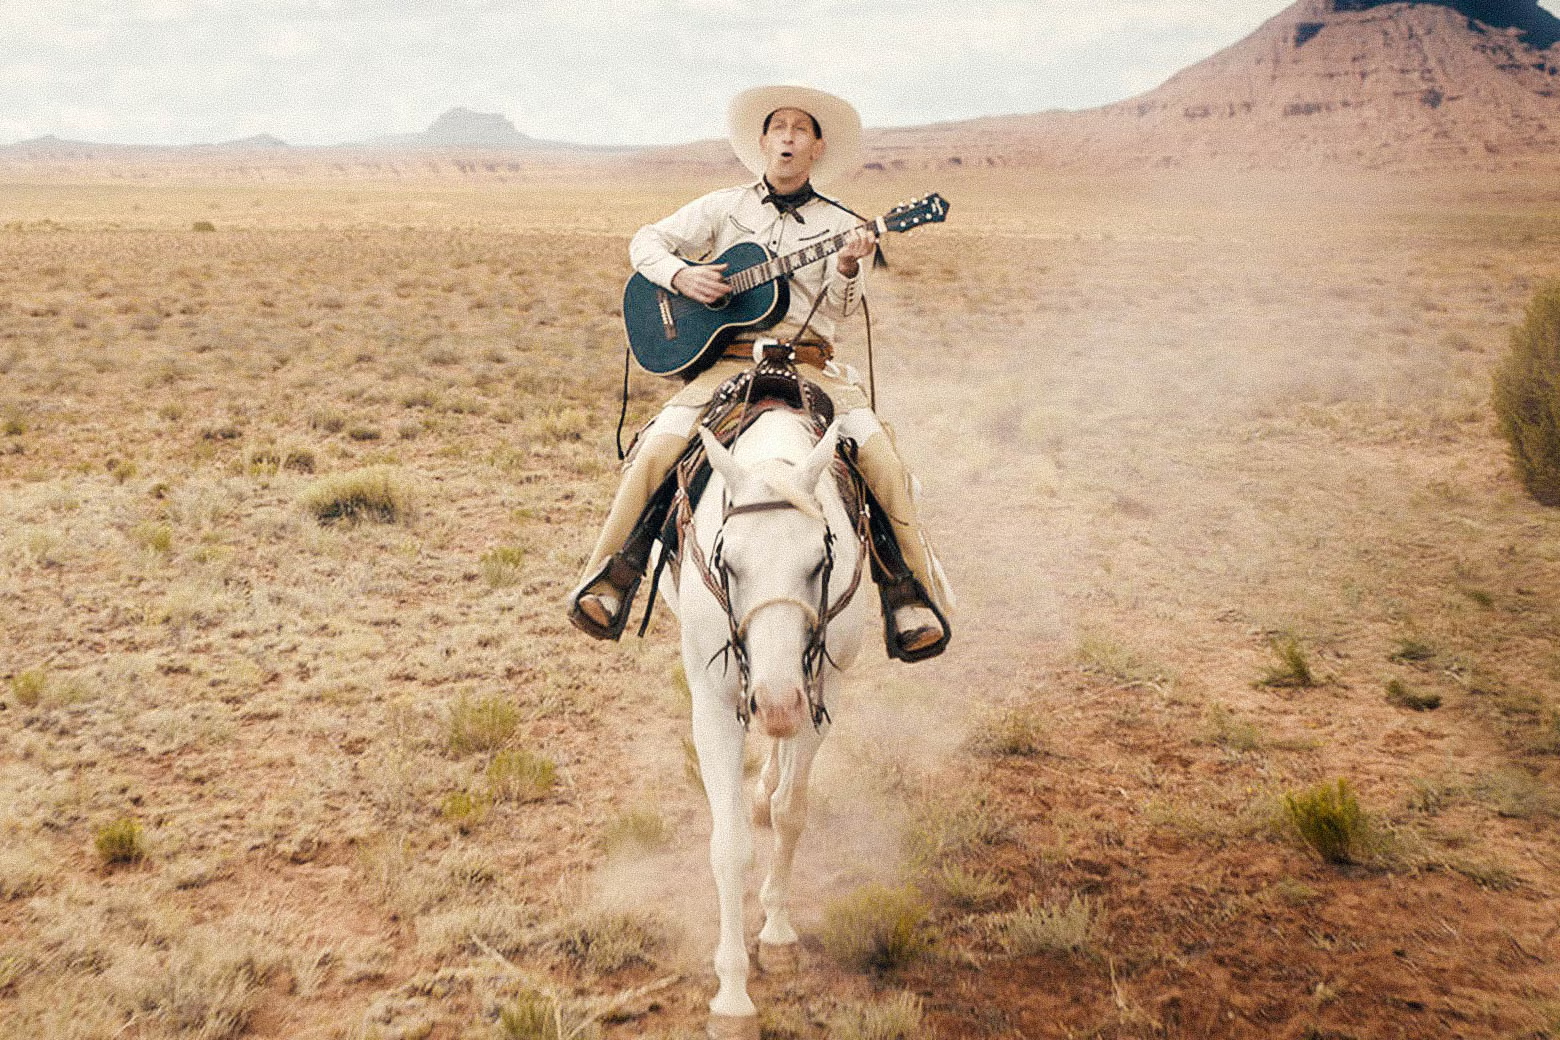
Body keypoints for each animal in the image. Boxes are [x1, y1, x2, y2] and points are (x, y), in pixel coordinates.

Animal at [667, 411, 873, 1035]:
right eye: (728, 562)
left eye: (820, 562)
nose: (776, 702)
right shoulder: (714, 707)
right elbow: (730, 845)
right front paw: (732, 996)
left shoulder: (817, 697)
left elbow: (790, 812)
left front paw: (778, 935)